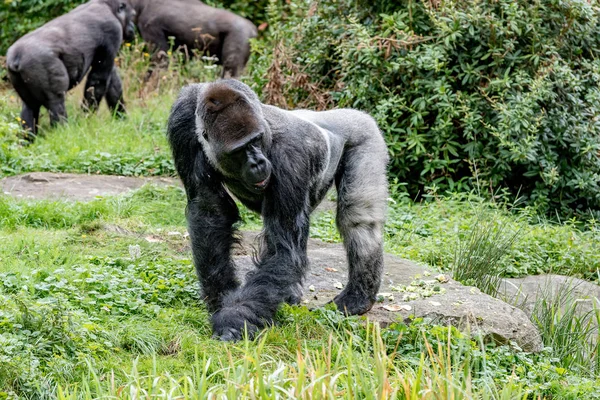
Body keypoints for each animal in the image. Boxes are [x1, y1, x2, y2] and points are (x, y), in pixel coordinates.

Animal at [4, 0, 136, 138]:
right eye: (133, 15)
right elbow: (98, 80)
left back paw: (27, 139)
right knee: (56, 102)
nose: (133, 26)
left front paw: (121, 118)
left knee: (30, 106)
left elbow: (112, 82)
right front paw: (86, 120)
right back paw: (62, 133)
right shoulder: (113, 29)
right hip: (38, 63)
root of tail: (16, 56)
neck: (108, 7)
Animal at [166, 80, 390, 340]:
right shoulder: (182, 118)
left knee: (358, 218)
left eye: (255, 141)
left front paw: (234, 319)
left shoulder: (290, 157)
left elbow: (282, 249)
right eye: (239, 150)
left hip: (366, 134)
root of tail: (351, 113)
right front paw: (222, 299)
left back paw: (357, 297)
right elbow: (209, 210)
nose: (257, 163)